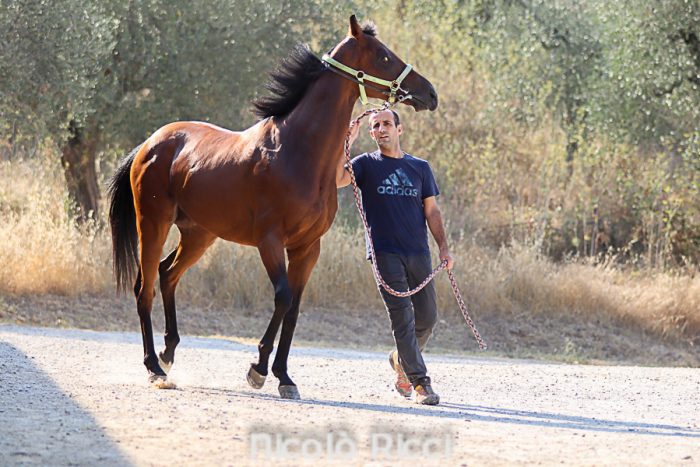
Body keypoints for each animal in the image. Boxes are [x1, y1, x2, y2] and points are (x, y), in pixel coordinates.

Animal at [108, 15, 438, 398]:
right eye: (384, 57)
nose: (430, 93)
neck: (298, 153)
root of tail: (149, 144)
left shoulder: (307, 248)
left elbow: (293, 308)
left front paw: (284, 376)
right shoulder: (270, 241)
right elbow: (282, 297)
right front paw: (259, 369)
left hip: (198, 234)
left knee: (167, 274)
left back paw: (169, 351)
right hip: (153, 223)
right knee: (143, 287)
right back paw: (154, 367)